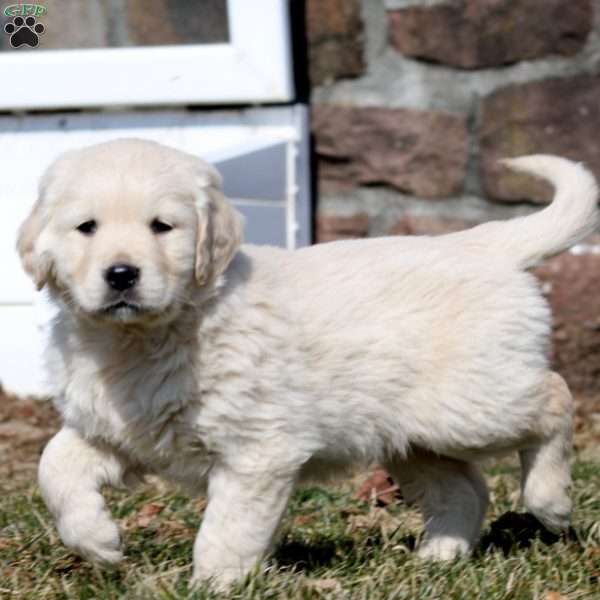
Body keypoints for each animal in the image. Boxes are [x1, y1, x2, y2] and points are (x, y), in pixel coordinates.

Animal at [16, 138, 596, 588]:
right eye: (86, 227)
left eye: (163, 227)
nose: (121, 274)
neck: (140, 339)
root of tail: (483, 245)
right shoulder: (117, 430)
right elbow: (54, 466)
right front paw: (97, 542)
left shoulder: (257, 452)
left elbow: (227, 529)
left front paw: (213, 584)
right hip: (413, 436)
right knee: (465, 490)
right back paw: (438, 558)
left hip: (472, 405)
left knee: (555, 397)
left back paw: (551, 501)